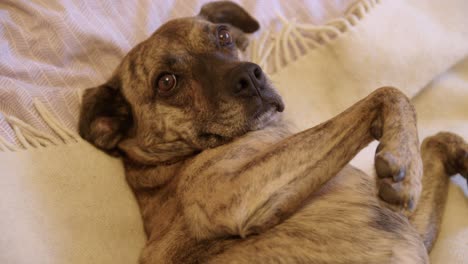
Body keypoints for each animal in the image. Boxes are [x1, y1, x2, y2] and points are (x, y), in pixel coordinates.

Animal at [77, 1, 468, 262]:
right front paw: (404, 165)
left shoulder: (410, 224)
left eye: (222, 36)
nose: (251, 76)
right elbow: (388, 93)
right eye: (166, 82)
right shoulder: (226, 193)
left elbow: (437, 138)